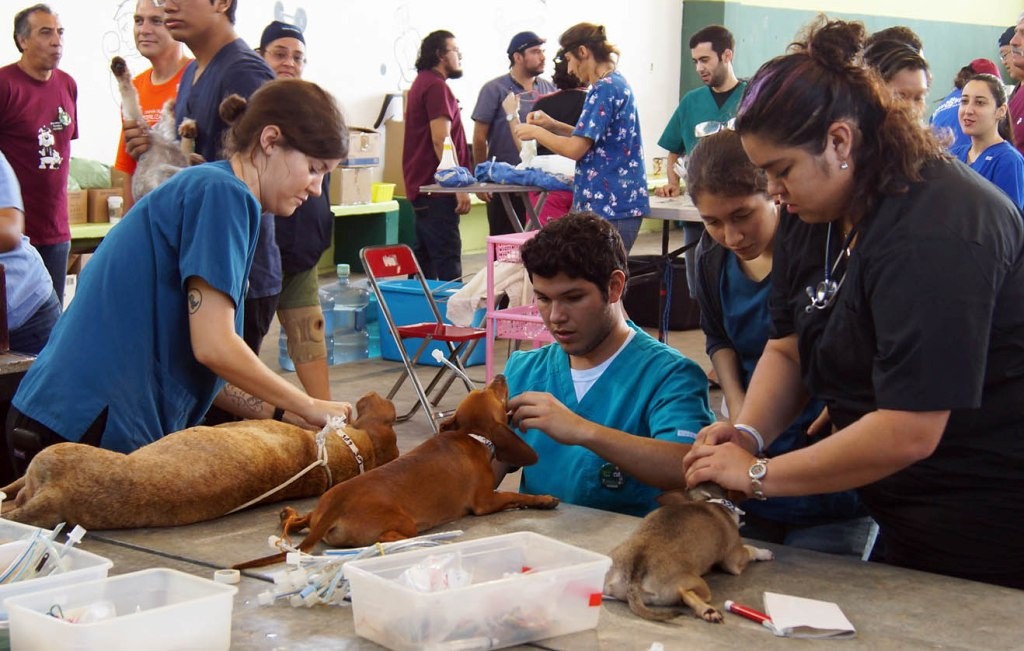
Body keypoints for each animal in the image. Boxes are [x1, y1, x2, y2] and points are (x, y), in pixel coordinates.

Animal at [234, 374, 561, 569]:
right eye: (492, 391)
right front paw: (543, 499)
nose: (500, 376)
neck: (471, 435)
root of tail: (335, 506)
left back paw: (288, 514)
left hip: (317, 512)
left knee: (299, 521)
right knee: (386, 539)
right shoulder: (485, 501)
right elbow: (512, 496)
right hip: (404, 524)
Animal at [602, 485, 770, 622]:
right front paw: (764, 553)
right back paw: (707, 611)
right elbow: (749, 549)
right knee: (686, 594)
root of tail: (633, 578)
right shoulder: (734, 560)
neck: (708, 500)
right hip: (698, 585)